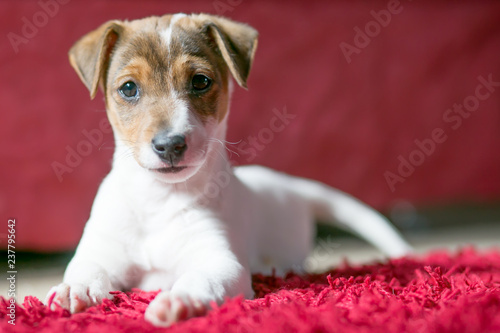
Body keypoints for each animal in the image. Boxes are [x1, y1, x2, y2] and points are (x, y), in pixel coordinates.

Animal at [45, 13, 412, 326]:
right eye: (128, 88)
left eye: (200, 81)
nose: (169, 145)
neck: (159, 199)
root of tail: (291, 186)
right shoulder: (102, 250)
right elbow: (85, 268)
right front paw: (74, 289)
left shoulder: (221, 260)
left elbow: (201, 278)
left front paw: (181, 298)